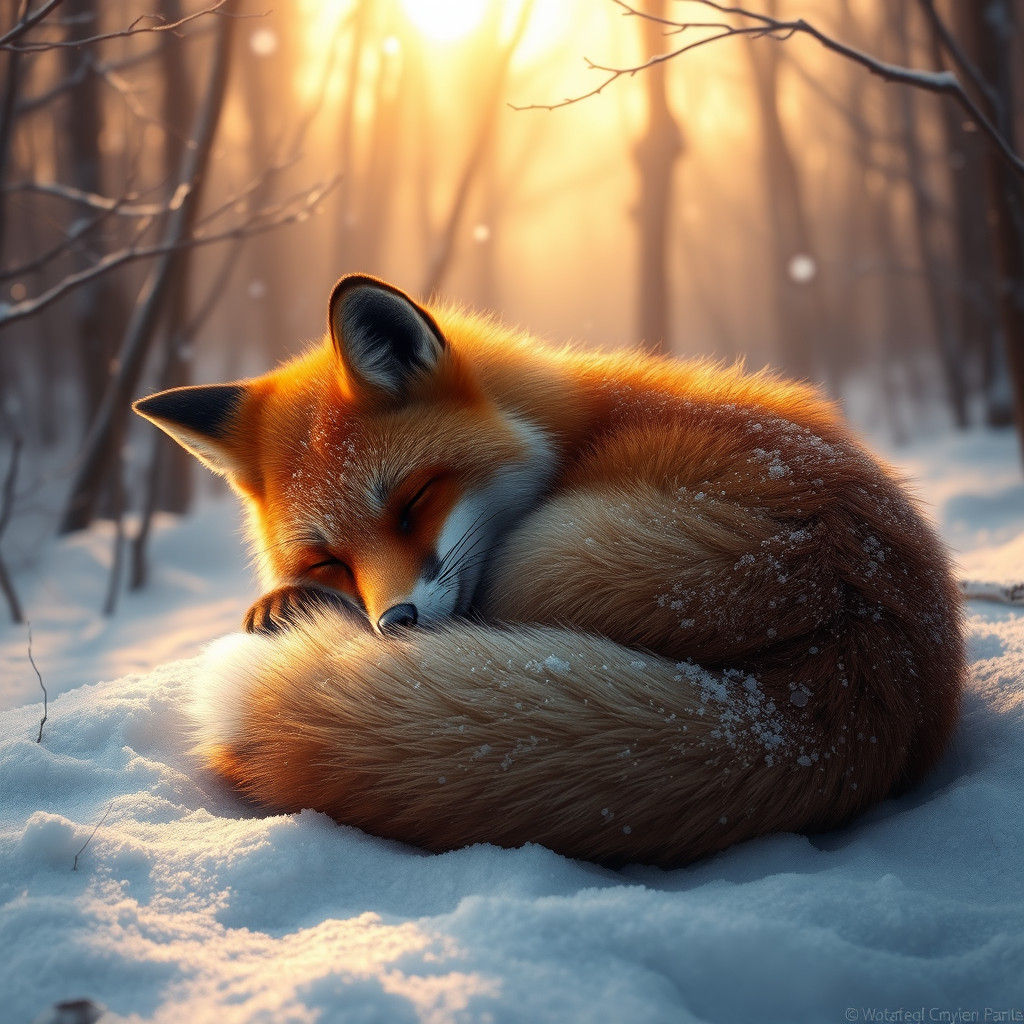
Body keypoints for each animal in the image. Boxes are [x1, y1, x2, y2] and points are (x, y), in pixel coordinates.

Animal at [133, 273, 966, 867]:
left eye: (414, 501)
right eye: (329, 559)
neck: (578, 425)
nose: (394, 623)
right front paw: (283, 598)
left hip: (539, 556)